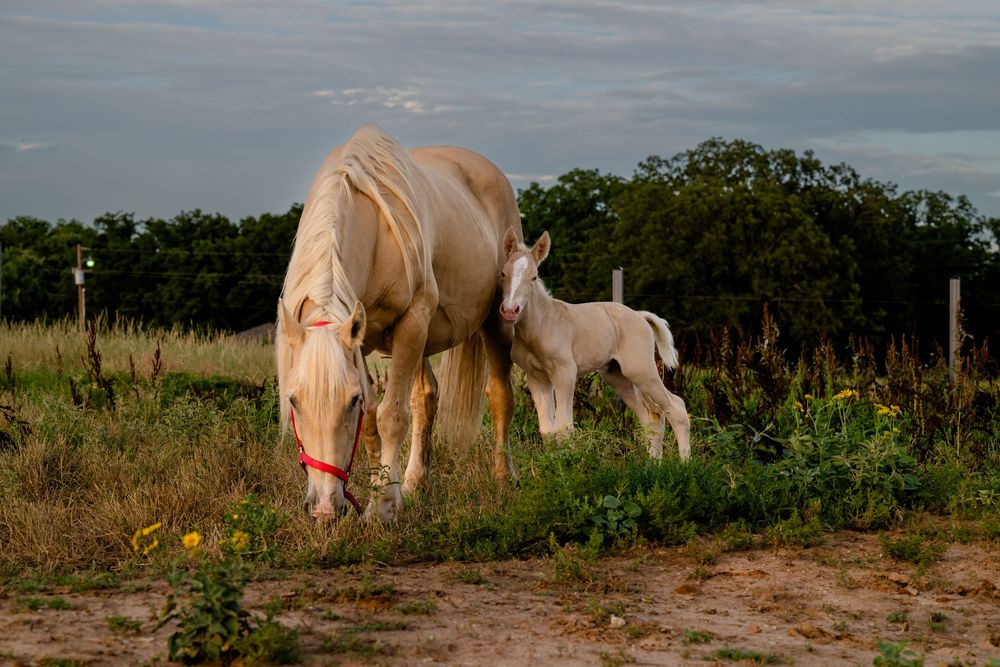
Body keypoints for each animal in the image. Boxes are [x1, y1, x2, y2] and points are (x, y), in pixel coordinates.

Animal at [276, 124, 522, 522]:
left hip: (496, 323)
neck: (375, 235)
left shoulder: (411, 324)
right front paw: (385, 491)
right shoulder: (362, 340)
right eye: (294, 401)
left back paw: (503, 480)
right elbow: (374, 420)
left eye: (350, 401)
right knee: (425, 398)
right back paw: (413, 483)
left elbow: (391, 416)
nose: (325, 508)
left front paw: (384, 508)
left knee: (500, 395)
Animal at [498, 228, 691, 460]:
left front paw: (568, 464)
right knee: (652, 416)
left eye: (534, 277)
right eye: (503, 274)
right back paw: (653, 464)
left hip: (641, 370)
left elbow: (564, 428)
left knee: (676, 408)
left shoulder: (565, 374)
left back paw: (685, 464)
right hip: (617, 375)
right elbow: (547, 430)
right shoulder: (536, 379)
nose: (510, 310)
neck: (540, 326)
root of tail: (640, 316)